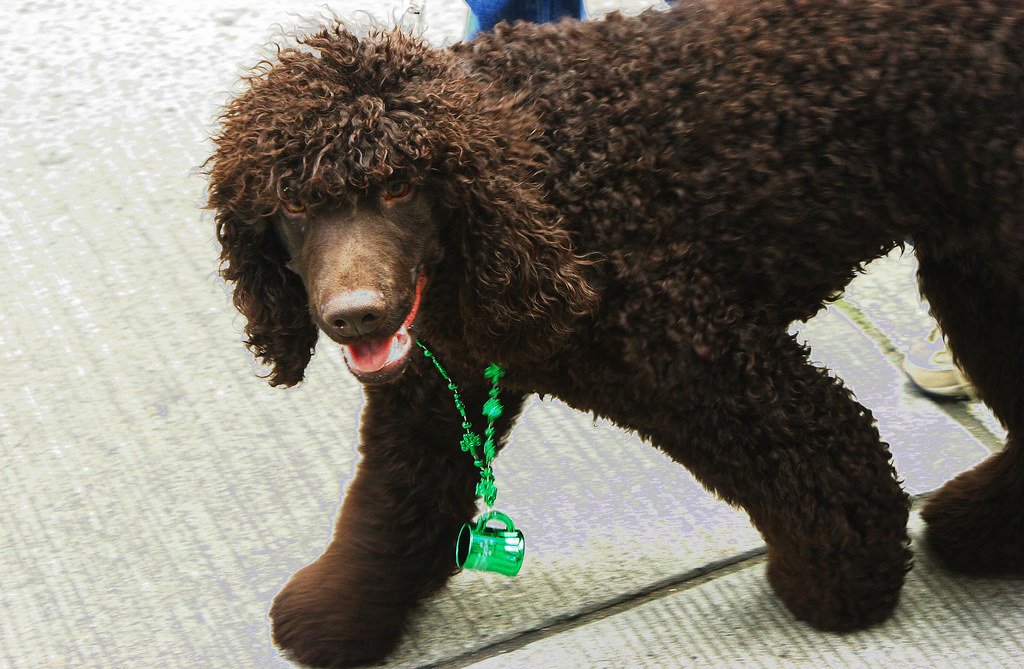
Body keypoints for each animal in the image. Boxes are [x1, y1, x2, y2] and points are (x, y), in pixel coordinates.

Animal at [205, 2, 1024, 663]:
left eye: (400, 188)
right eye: (293, 207)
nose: (356, 314)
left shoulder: (708, 360)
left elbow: (833, 462)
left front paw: (842, 592)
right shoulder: (438, 391)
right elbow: (394, 505)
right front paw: (340, 612)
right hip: (981, 273)